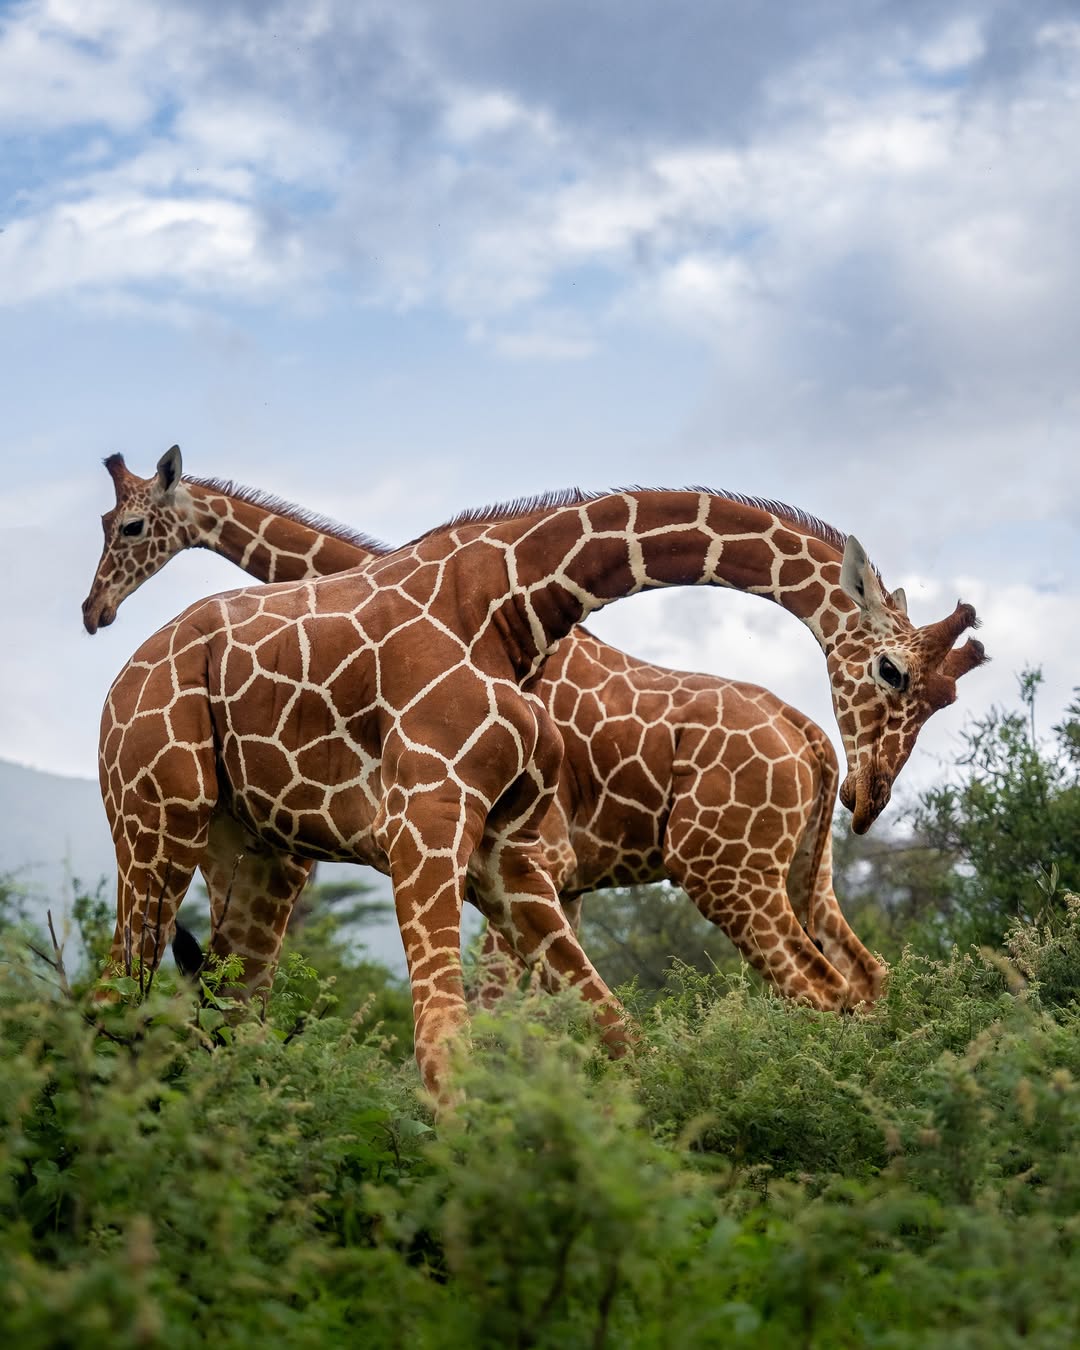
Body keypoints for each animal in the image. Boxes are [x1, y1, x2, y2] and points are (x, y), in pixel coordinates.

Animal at [93, 470, 986, 1096]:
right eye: (896, 672)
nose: (93, 606)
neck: (506, 598)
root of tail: (811, 741)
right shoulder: (504, 854)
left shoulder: (513, 853)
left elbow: (525, 1031)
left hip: (737, 871)